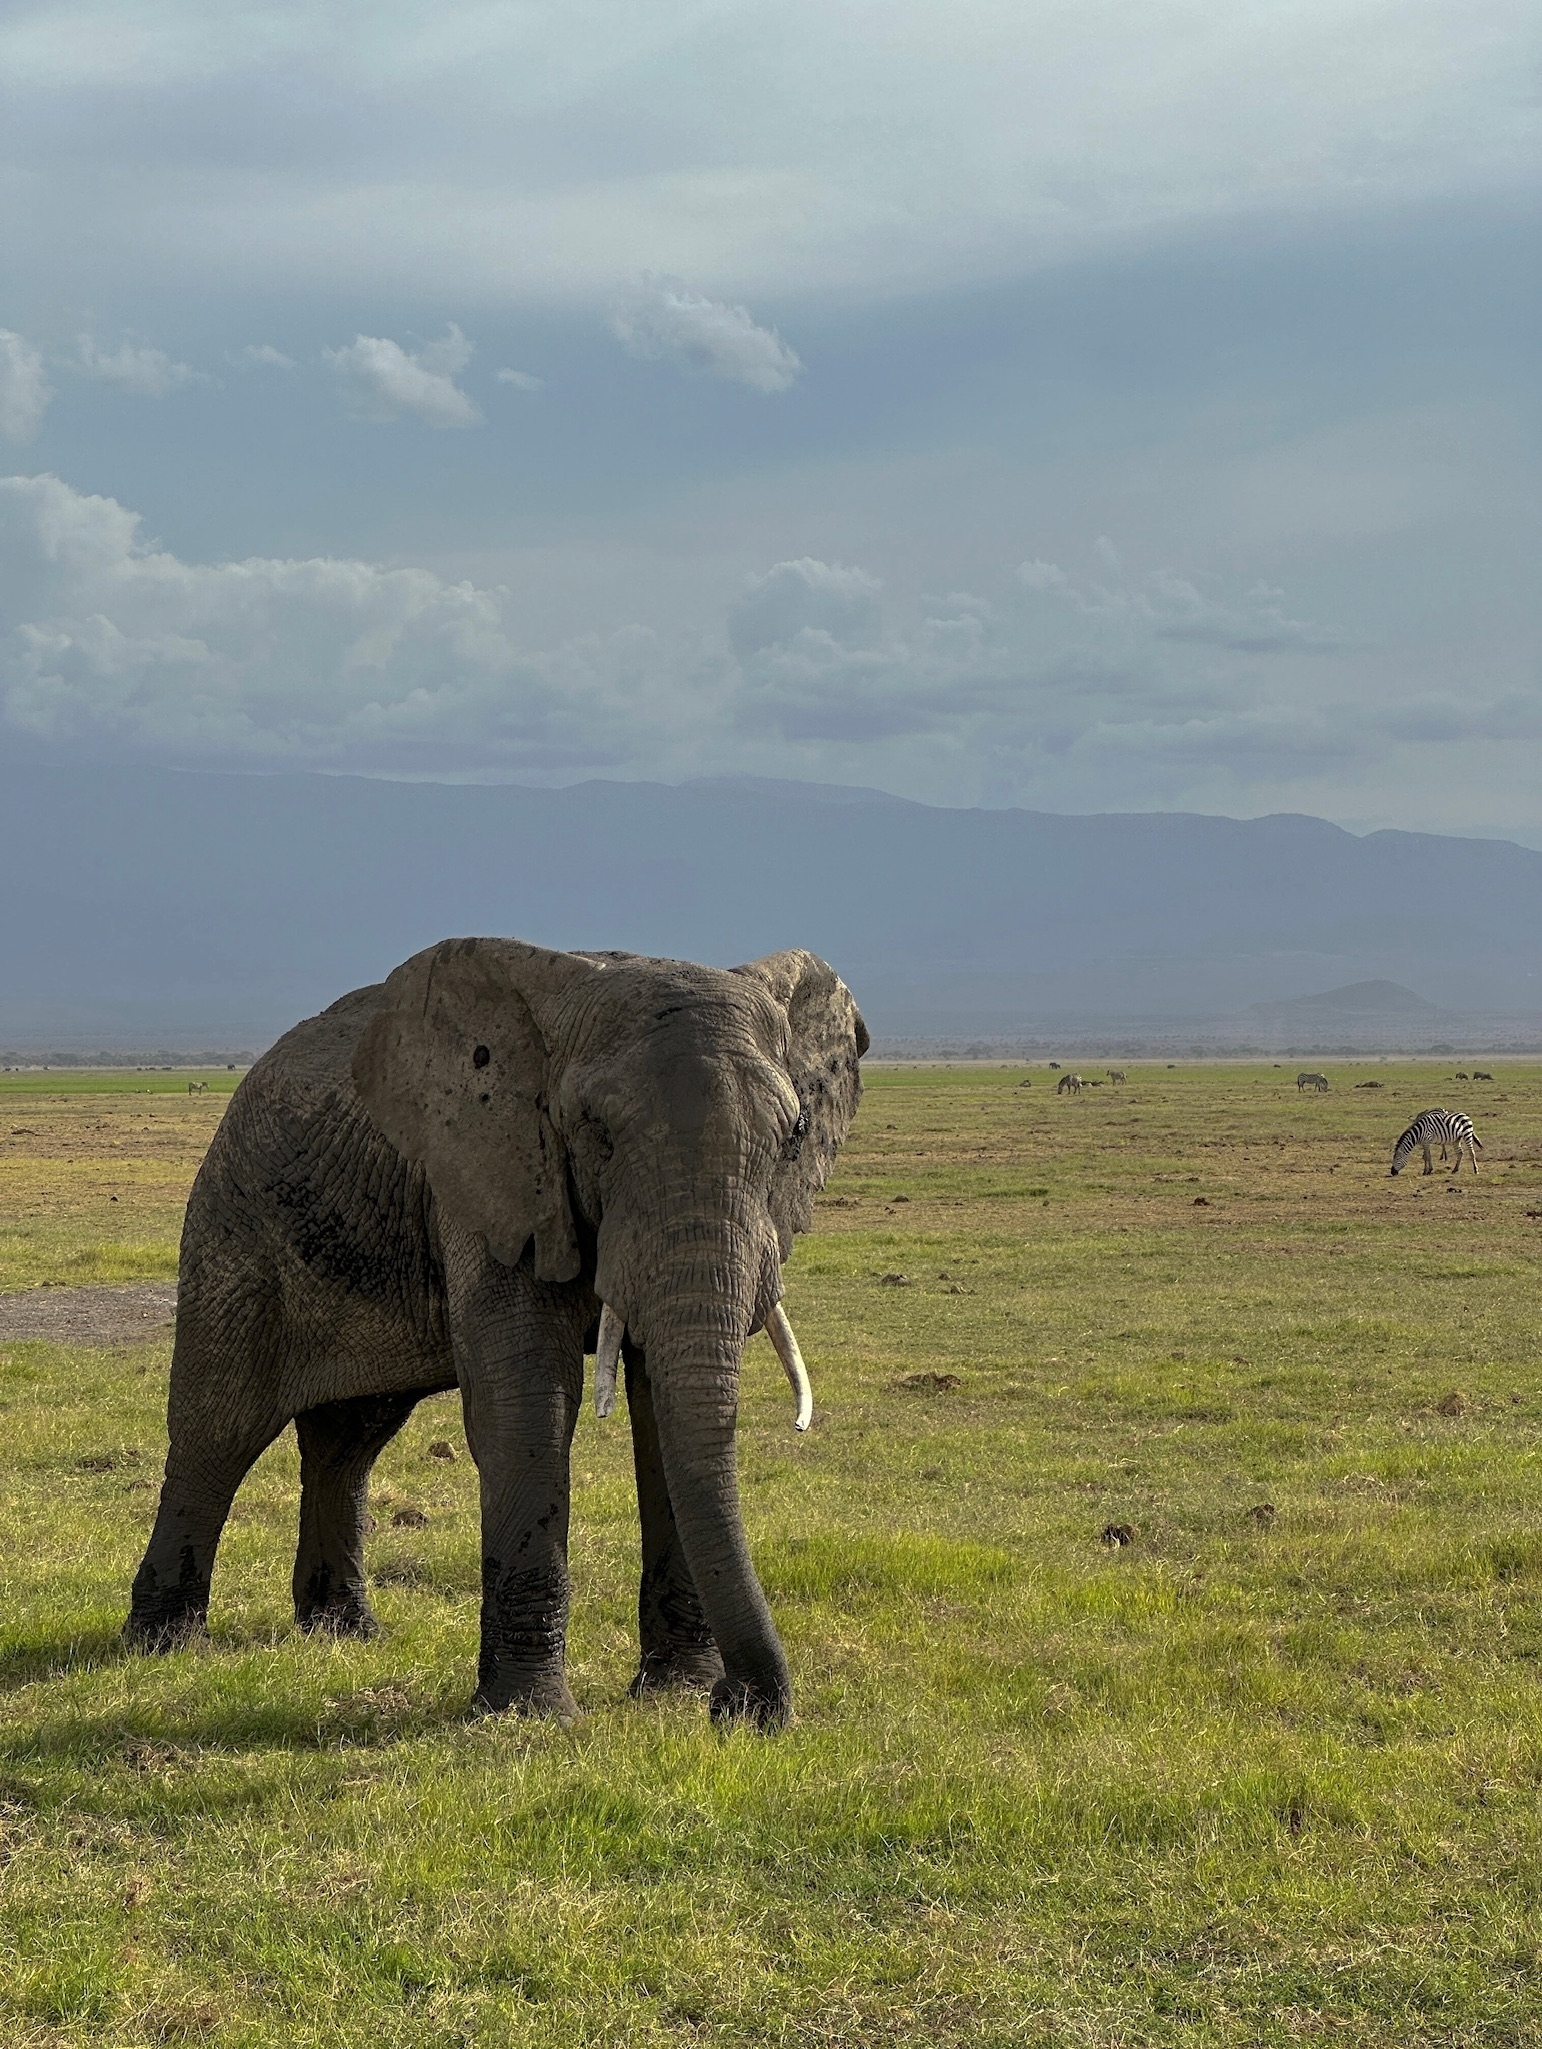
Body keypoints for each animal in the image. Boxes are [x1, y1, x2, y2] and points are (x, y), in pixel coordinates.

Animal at [125, 937, 868, 1728]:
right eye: (596, 1133)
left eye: (795, 1136)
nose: (744, 1706)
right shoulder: (490, 1173)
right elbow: (527, 1407)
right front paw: (530, 1717)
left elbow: (658, 1418)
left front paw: (676, 1694)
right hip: (236, 1226)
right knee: (217, 1430)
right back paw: (162, 1645)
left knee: (348, 1444)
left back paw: (342, 1634)